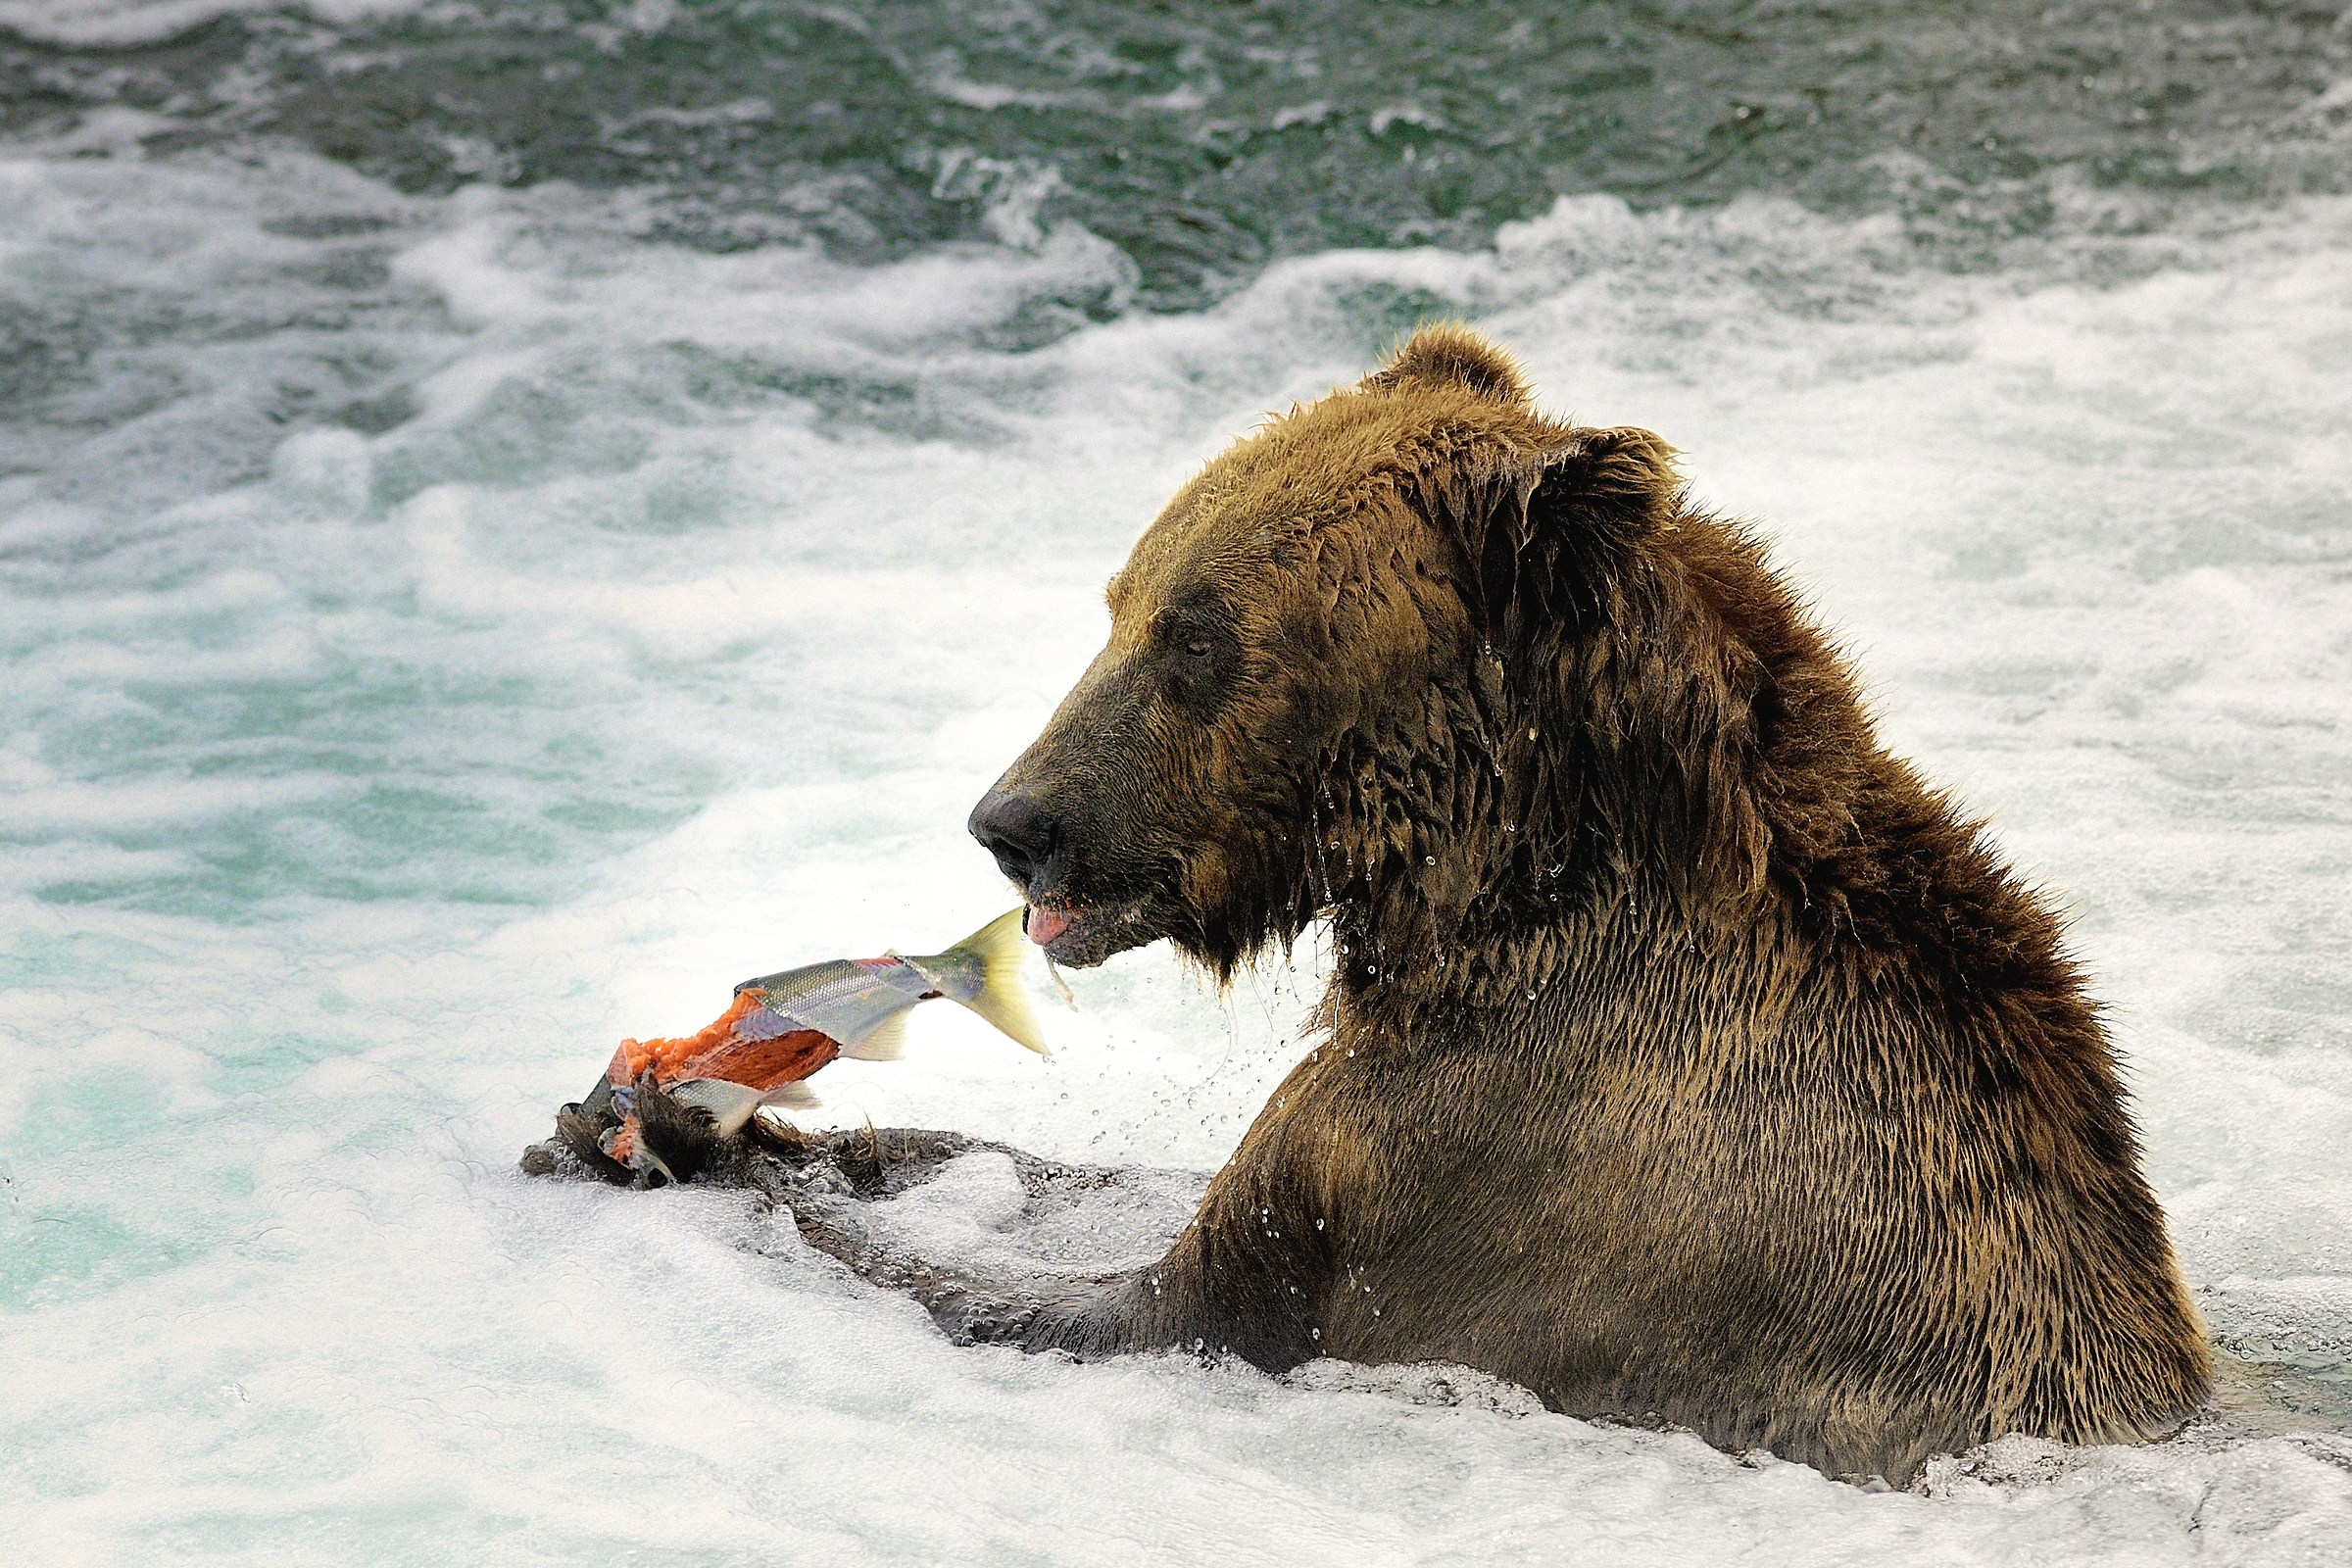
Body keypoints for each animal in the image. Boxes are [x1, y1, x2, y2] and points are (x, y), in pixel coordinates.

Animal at [797, 324, 2212, 1483]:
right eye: (1122, 600)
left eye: (1197, 636)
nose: (1012, 823)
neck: (1487, 892)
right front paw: (879, 1143)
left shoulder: (1473, 1152)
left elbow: (1148, 1296)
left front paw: (777, 1168)